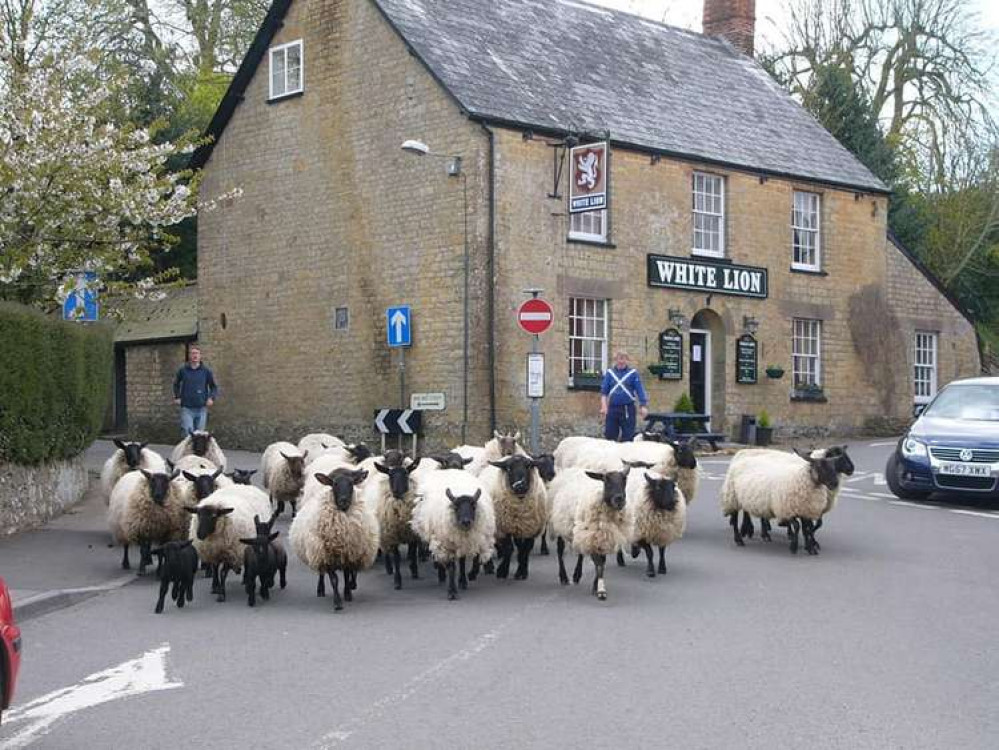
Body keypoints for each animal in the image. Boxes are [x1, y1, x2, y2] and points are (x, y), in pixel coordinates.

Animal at [292, 468, 382, 612]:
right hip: (316, 550)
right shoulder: (327, 555)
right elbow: (334, 580)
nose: (344, 500)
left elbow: (346, 575)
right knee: (321, 572)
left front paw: (347, 594)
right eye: (334, 484)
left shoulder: (349, 553)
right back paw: (320, 589)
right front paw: (337, 602)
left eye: (351, 483)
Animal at [410, 472, 496, 604]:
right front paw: (452, 592)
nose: (466, 522)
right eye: (456, 506)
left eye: (473, 506)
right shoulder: (447, 545)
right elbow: (451, 567)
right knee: (440, 558)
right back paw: (441, 573)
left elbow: (462, 562)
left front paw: (463, 581)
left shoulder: (464, 542)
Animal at [476, 456, 548, 584]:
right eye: (508, 468)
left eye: (528, 466)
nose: (519, 486)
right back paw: (489, 567)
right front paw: (502, 571)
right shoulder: (504, 528)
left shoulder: (530, 529)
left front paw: (522, 572)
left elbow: (525, 549)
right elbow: (508, 549)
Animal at [548, 468, 632, 604]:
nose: (619, 499)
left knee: (581, 553)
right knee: (560, 551)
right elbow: (599, 564)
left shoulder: (601, 538)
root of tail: (570, 469)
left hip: (582, 532)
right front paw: (601, 591)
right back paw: (564, 577)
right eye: (606, 480)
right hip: (560, 525)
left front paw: (595, 586)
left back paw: (577, 575)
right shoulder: (594, 538)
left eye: (625, 479)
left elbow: (601, 563)